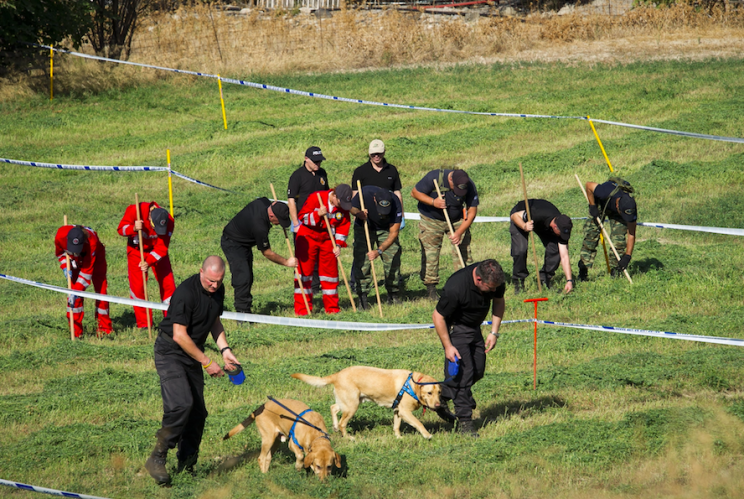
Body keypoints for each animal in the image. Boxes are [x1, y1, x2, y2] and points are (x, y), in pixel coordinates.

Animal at [290, 366, 442, 440]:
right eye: (429, 393)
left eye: (439, 393)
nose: (438, 405)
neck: (413, 385)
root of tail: (337, 375)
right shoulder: (405, 411)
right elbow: (418, 423)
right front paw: (427, 435)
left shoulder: (398, 411)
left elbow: (396, 426)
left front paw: (399, 437)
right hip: (352, 406)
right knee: (342, 423)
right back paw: (348, 437)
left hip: (347, 402)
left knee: (333, 408)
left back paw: (334, 426)